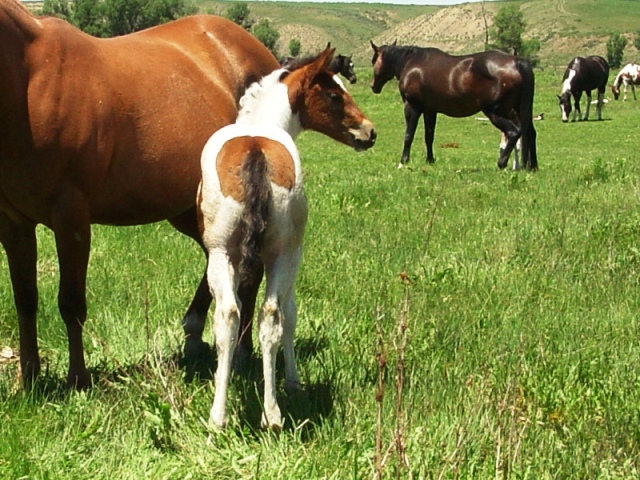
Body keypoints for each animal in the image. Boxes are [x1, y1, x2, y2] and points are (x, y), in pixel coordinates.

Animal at [0, 0, 281, 390]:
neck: (27, 81)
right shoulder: (14, 222)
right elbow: (25, 298)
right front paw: (28, 380)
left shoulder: (71, 217)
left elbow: (71, 303)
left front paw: (78, 379)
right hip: (189, 210)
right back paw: (196, 334)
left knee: (248, 270)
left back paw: (240, 351)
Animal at [197, 46, 375, 429]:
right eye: (335, 94)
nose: (370, 132)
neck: (260, 125)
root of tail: (255, 151)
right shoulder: (289, 254)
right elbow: (287, 316)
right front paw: (288, 382)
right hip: (280, 254)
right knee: (270, 316)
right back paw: (271, 412)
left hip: (229, 254)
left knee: (233, 315)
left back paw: (225, 415)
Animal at [369, 41, 538, 171]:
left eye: (373, 60)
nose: (373, 86)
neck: (412, 64)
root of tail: (517, 62)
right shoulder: (430, 110)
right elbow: (429, 136)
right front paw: (430, 160)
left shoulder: (412, 107)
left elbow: (408, 135)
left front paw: (403, 161)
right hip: (518, 111)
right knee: (530, 133)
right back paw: (532, 167)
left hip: (497, 112)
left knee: (514, 132)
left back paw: (501, 163)